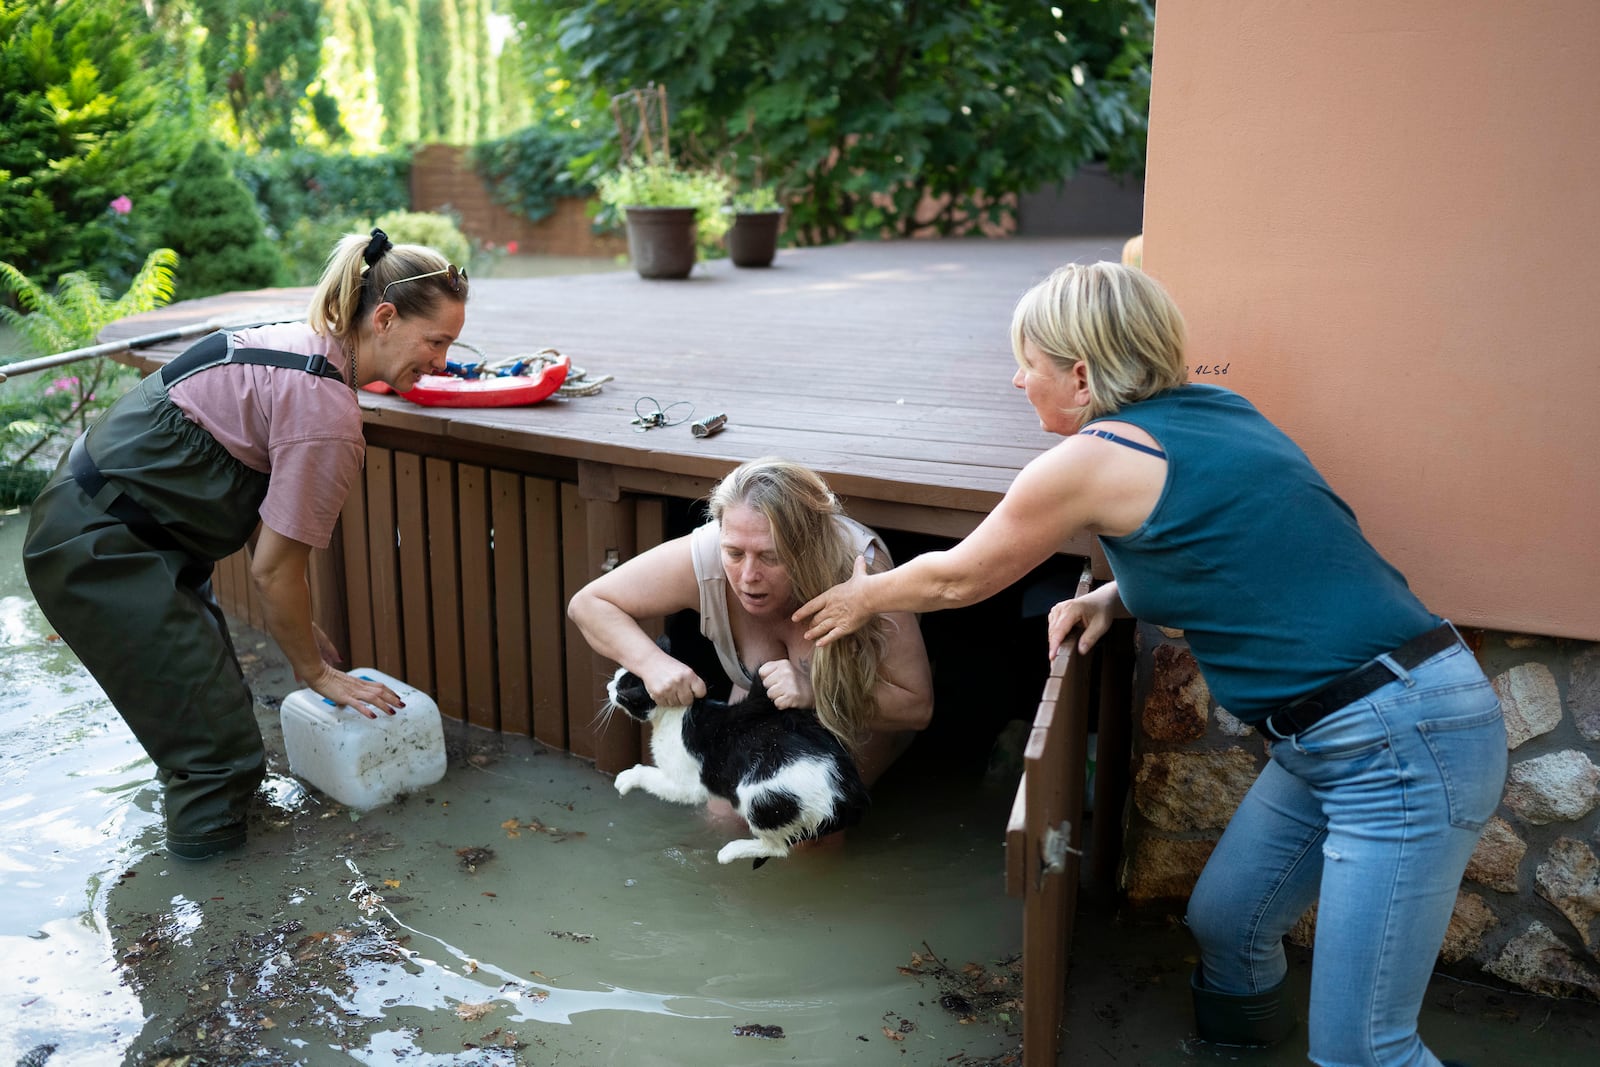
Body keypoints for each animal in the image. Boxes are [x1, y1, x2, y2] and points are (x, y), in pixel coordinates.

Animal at [601, 652, 876, 870]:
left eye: (621, 689)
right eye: (617, 676)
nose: (608, 687)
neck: (678, 714)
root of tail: (850, 790)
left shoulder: (686, 784)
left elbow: (650, 775)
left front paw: (626, 778)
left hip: (758, 795)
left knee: (778, 848)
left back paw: (730, 852)